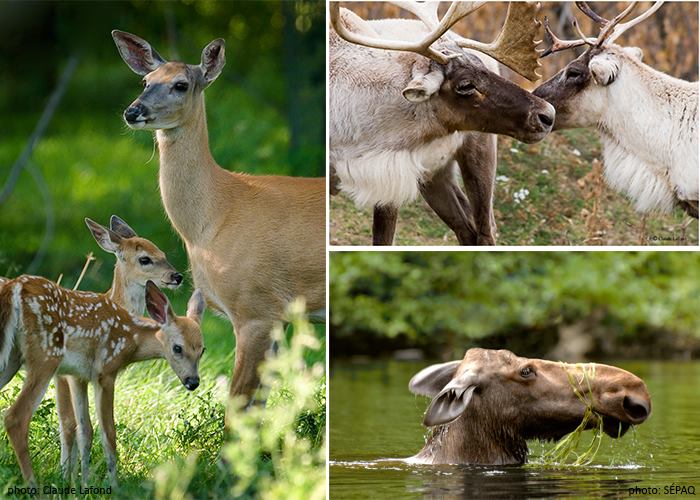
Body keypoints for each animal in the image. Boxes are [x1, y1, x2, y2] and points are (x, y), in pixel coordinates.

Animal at [0, 276, 205, 486]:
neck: (132, 338)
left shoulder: (78, 376)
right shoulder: (105, 372)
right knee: (15, 417)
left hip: (11, 359)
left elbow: (84, 430)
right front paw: (114, 484)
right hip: (46, 355)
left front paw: (83, 483)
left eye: (202, 350)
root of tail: (15, 286)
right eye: (177, 348)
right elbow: (109, 434)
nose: (193, 382)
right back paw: (33, 484)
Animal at [112, 31, 326, 404]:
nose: (133, 111)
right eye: (145, 81)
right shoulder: (275, 318)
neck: (213, 217)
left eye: (181, 84)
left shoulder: (255, 308)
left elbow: (237, 405)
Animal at [330, 0, 556, 245]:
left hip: (479, 153)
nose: (547, 114)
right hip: (436, 174)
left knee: (485, 229)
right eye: (466, 85)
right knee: (466, 227)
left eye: (480, 66)